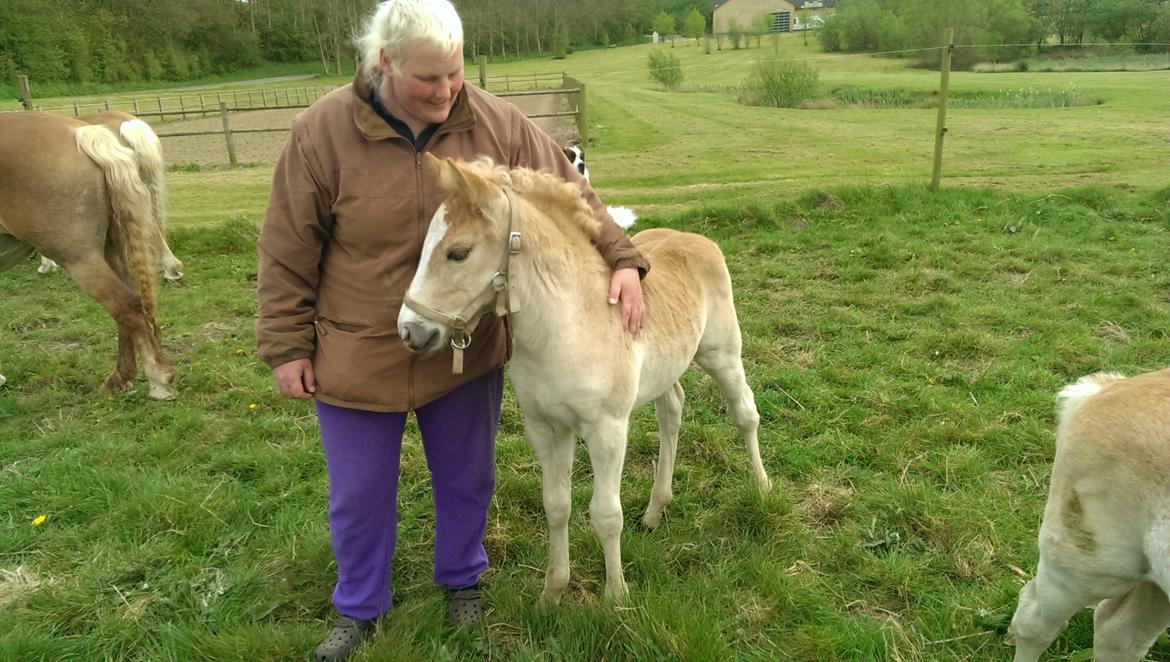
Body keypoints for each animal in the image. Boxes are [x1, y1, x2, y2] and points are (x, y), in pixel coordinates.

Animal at [397, 156, 772, 608]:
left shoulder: (606, 429)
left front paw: (616, 597)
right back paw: (655, 510)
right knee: (672, 413)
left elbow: (606, 513)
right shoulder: (545, 428)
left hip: (722, 355)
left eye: (457, 253)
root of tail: (695, 239)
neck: (565, 326)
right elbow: (556, 505)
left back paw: (762, 486)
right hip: (665, 371)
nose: (410, 331)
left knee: (744, 413)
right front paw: (552, 591)